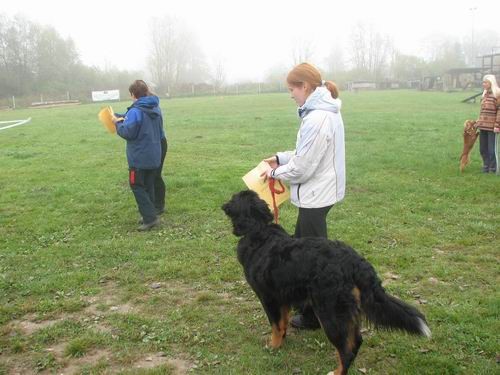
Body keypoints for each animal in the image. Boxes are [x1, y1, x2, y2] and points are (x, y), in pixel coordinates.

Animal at [222, 191, 430, 375]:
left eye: (233, 198)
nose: (223, 205)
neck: (259, 231)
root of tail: (355, 261)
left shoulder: (268, 298)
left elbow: (276, 325)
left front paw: (273, 346)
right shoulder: (283, 297)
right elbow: (283, 323)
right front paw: (282, 342)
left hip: (330, 312)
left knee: (346, 350)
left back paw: (337, 372)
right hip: (346, 311)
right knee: (356, 342)